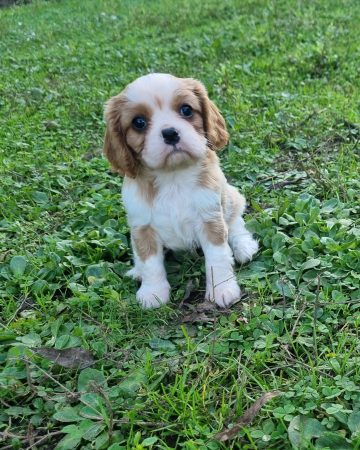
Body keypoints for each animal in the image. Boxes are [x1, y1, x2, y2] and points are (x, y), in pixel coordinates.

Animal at [102, 73, 258, 310]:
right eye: (139, 122)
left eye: (186, 110)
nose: (170, 133)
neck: (172, 178)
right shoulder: (142, 226)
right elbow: (150, 262)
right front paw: (153, 292)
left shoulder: (210, 217)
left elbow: (218, 256)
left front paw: (222, 289)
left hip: (231, 196)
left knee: (235, 223)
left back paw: (244, 247)